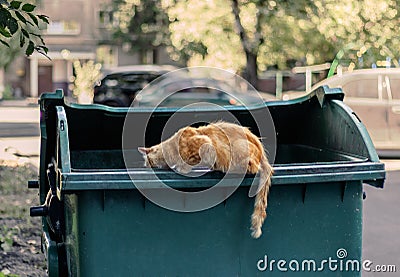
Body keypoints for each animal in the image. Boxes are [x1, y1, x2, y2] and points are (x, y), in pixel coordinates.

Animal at [139, 121, 274, 237]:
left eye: (147, 161)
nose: (145, 166)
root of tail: (261, 149)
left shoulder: (204, 145)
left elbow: (189, 162)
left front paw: (181, 168)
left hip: (239, 149)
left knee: (254, 168)